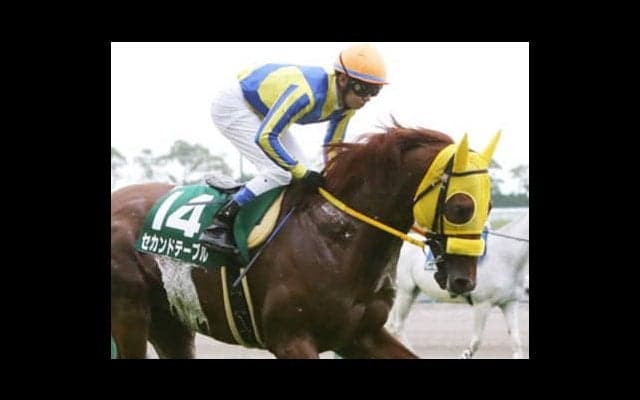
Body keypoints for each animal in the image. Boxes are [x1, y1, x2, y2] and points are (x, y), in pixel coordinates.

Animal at [111, 123, 500, 359]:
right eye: (461, 207)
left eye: (490, 205)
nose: (465, 280)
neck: (338, 240)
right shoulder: (291, 339)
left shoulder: (361, 335)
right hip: (130, 313)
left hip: (170, 321)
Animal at [385, 211, 529, 358]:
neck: (504, 256)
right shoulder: (482, 304)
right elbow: (477, 341)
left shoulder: (509, 303)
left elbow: (516, 340)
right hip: (405, 292)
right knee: (397, 325)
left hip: (411, 291)